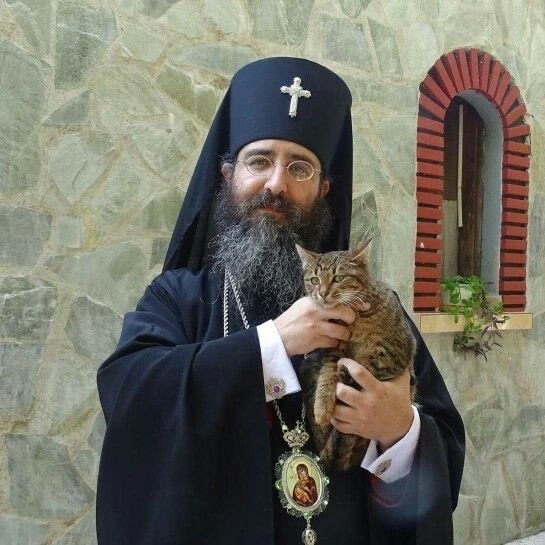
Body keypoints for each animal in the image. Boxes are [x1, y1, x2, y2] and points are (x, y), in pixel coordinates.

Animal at [296, 239, 417, 471]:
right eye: (314, 280)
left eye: (338, 278)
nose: (322, 293)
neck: (355, 319)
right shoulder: (333, 351)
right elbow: (328, 373)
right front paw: (322, 407)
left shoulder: (396, 352)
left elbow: (367, 367)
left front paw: (350, 377)